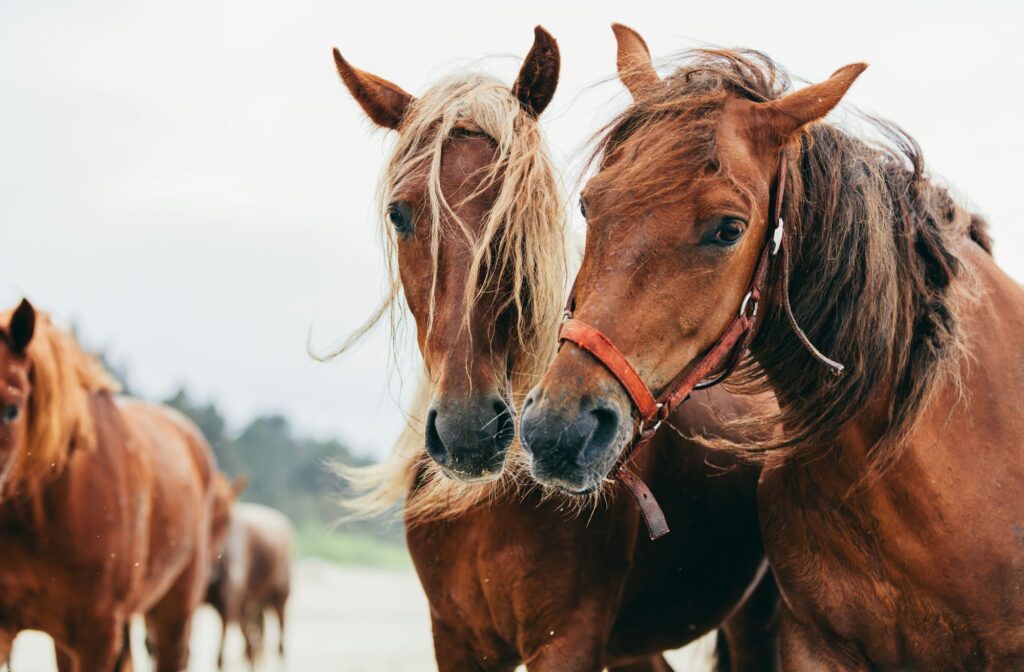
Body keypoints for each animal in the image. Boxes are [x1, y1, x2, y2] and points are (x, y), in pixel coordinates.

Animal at [206, 499, 294, 669]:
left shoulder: (228, 606)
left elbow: (220, 658)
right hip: (251, 608)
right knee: (253, 645)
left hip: (279, 598)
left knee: (279, 646)